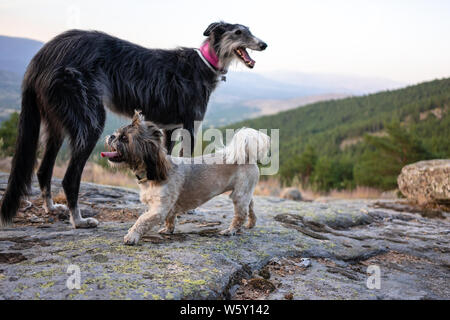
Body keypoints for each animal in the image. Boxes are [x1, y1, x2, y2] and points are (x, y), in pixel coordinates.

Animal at [0, 21, 268, 229]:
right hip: (89, 120)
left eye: (249, 30)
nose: (264, 44)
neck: (204, 62)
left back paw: (51, 208)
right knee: (69, 177)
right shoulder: (190, 126)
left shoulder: (168, 129)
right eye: (238, 32)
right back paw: (79, 221)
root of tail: (42, 56)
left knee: (44, 170)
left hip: (55, 123)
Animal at [102, 111, 268, 244]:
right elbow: (170, 217)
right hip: (245, 193)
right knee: (251, 206)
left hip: (239, 195)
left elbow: (142, 220)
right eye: (116, 134)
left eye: (124, 138)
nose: (111, 136)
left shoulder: (159, 208)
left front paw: (132, 236)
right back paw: (251, 223)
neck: (152, 174)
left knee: (240, 215)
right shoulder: (166, 206)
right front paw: (168, 229)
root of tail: (246, 156)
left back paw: (231, 230)